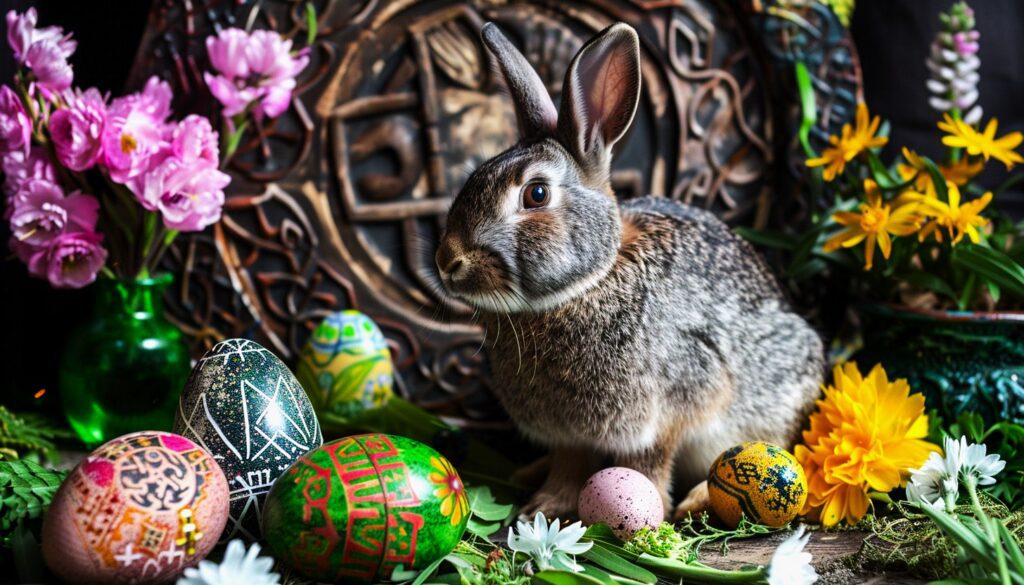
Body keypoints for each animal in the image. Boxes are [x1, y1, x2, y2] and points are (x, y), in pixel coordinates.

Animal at [434, 21, 823, 522]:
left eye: (536, 194)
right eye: (471, 179)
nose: (447, 261)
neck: (587, 283)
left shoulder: (673, 403)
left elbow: (649, 461)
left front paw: (648, 510)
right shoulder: (569, 434)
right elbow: (568, 462)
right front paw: (544, 506)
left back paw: (700, 499)